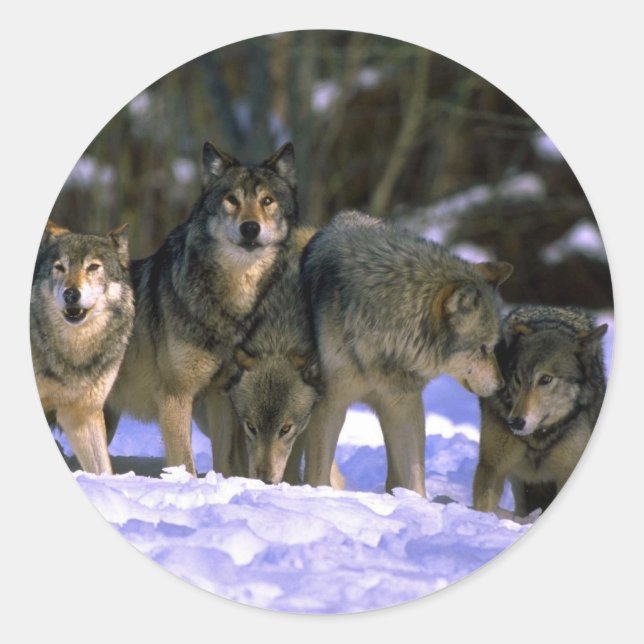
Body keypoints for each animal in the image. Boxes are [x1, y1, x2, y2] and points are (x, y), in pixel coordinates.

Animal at [105, 141, 298, 476]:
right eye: (232, 200)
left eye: (267, 201)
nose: (250, 228)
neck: (229, 305)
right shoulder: (176, 396)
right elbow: (185, 462)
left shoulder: (221, 397)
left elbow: (226, 461)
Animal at [301, 210, 513, 496]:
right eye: (482, 348)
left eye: (492, 347)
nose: (501, 386)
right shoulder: (330, 403)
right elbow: (318, 471)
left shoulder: (403, 405)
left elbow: (414, 477)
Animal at [473, 305, 608, 516]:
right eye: (517, 379)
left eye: (545, 379)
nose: (515, 422)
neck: (537, 439)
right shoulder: (492, 466)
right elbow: (483, 506)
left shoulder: (567, 470)